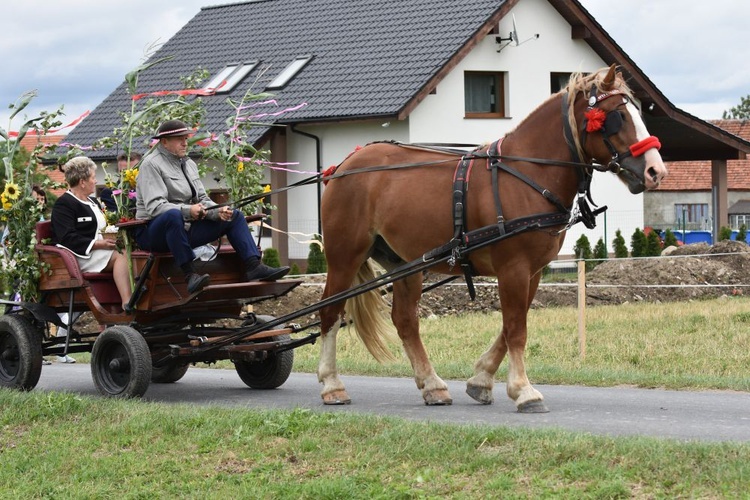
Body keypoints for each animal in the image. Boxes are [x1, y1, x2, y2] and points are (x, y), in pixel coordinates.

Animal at [318, 64, 668, 412]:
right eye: (617, 117)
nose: (656, 172)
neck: (527, 173)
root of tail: (344, 165)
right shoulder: (512, 268)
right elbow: (515, 329)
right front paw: (524, 391)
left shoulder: (533, 271)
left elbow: (512, 324)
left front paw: (481, 380)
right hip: (345, 257)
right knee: (330, 312)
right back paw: (332, 384)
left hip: (404, 262)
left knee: (404, 320)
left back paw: (432, 385)